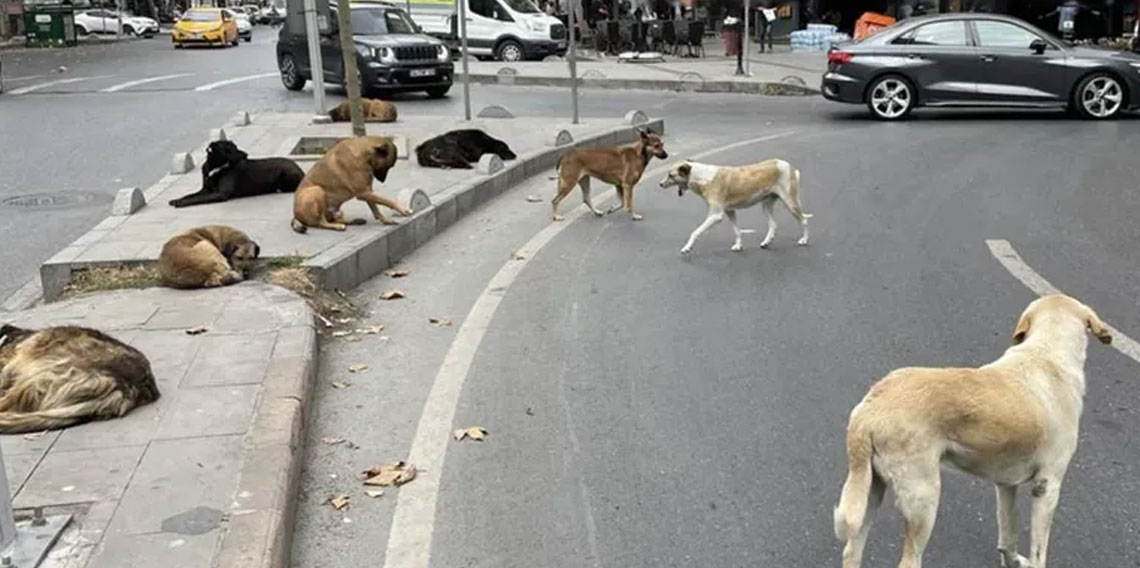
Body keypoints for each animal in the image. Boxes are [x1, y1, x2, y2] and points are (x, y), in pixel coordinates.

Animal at [166, 139, 305, 208]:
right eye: (229, 149)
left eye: (235, 146)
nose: (246, 154)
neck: (215, 167)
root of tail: (300, 169)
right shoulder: (205, 189)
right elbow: (190, 195)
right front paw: (177, 199)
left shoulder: (220, 194)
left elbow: (198, 198)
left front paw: (181, 203)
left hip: (285, 175)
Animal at [661, 155, 811, 253]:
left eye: (671, 175)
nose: (660, 184)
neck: (701, 176)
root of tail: (789, 165)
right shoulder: (729, 211)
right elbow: (737, 230)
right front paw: (738, 246)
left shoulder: (715, 216)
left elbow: (695, 232)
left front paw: (687, 247)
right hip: (766, 205)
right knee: (773, 224)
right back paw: (766, 242)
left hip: (790, 203)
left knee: (804, 220)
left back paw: (804, 240)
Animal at [829, 291, 1112, 568]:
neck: (1046, 352)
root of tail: (868, 410)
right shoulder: (1047, 486)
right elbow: (1038, 552)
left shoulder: (1005, 485)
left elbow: (1008, 533)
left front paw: (1011, 560)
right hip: (924, 498)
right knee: (908, 561)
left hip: (870, 489)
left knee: (852, 551)